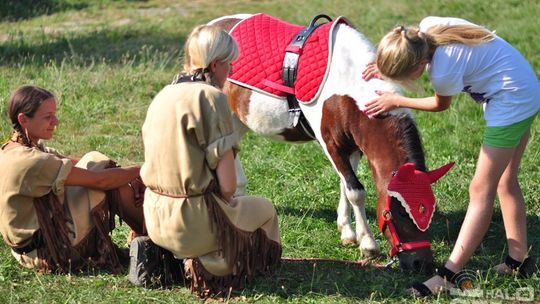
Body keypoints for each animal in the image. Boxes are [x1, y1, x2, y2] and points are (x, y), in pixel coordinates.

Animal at [209, 13, 454, 272]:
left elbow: (345, 186)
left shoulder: (353, 147)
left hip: (238, 121)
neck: (349, 86)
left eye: (430, 209)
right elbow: (355, 190)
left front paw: (347, 231)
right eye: (398, 212)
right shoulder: (331, 146)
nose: (422, 264)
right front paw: (367, 243)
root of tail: (212, 26)